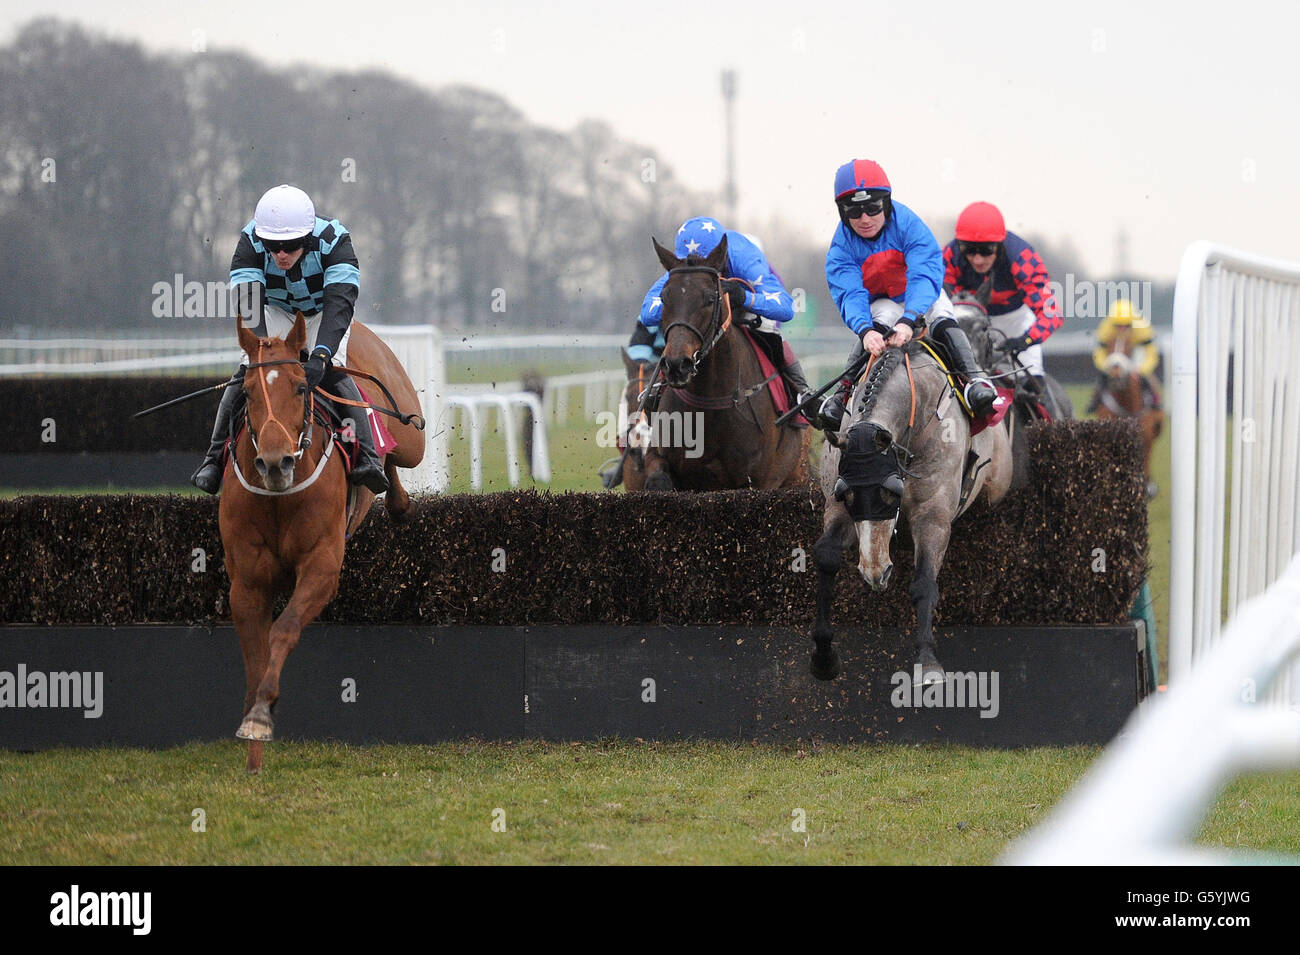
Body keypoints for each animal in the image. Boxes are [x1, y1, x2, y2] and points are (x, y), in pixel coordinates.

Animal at [220, 317, 423, 774]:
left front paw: (261, 717)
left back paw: (392, 490)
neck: (280, 495)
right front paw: (254, 740)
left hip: (410, 436)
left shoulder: (321, 566)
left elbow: (285, 629)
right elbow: (255, 657)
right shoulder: (246, 583)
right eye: (247, 392)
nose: (274, 463)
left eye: (300, 387)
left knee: (395, 462)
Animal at [637, 235, 806, 493]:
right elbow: (657, 477)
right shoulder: (658, 455)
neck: (709, 402)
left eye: (709, 299)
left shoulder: (755, 480)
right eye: (664, 298)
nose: (677, 364)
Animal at [811, 340, 1013, 686]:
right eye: (845, 491)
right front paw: (824, 656)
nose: (875, 573)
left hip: (997, 488)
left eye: (892, 490)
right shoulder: (838, 507)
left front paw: (927, 661)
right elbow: (826, 557)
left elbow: (923, 583)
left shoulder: (933, 515)